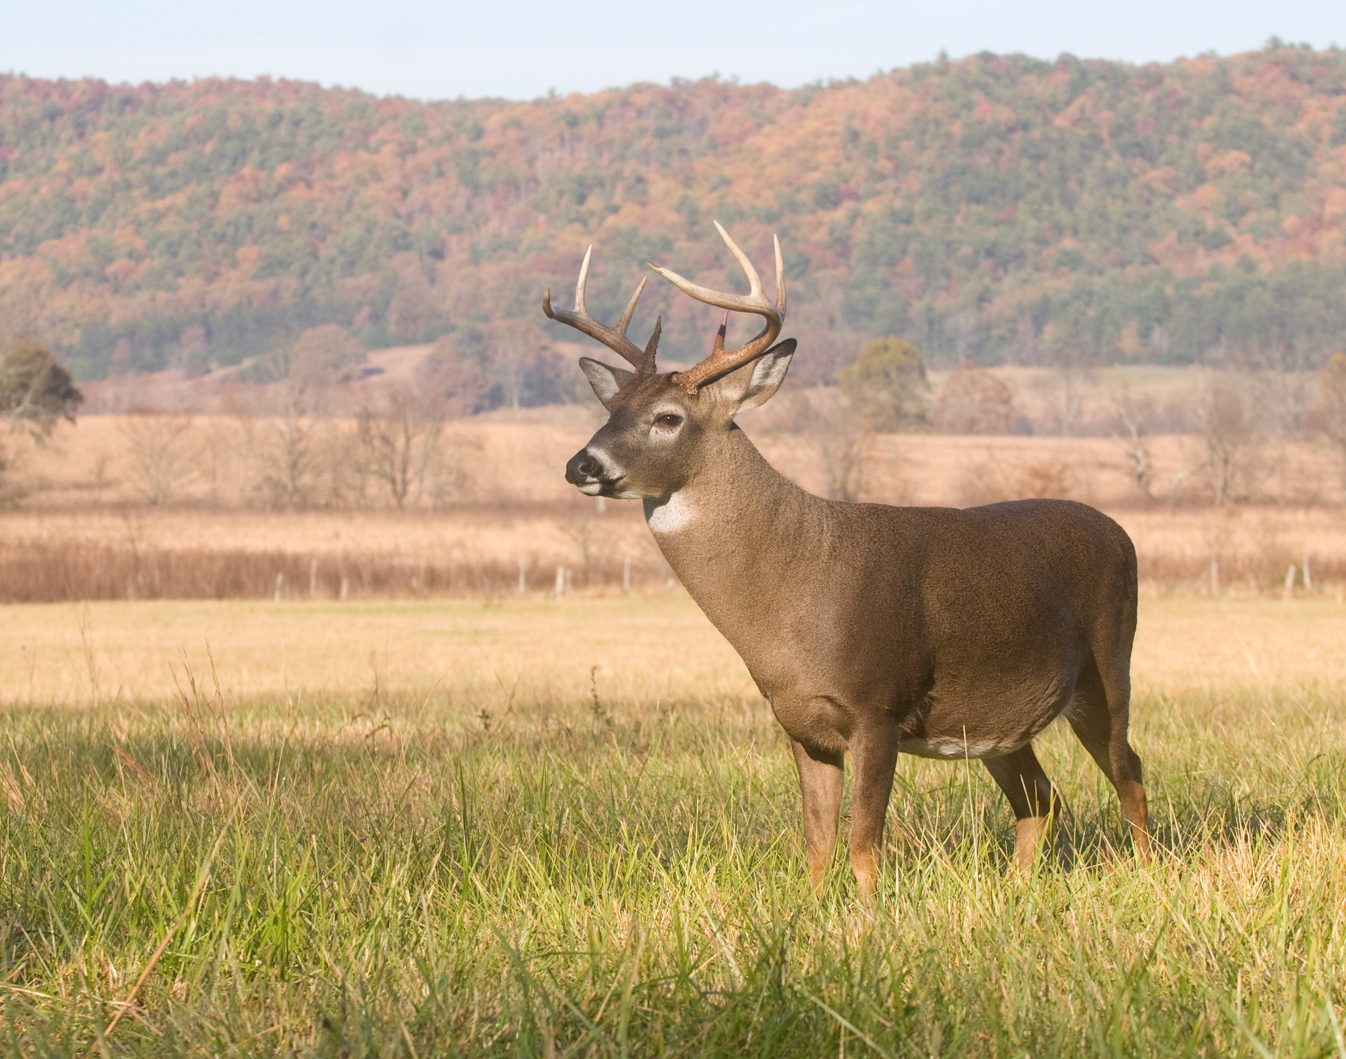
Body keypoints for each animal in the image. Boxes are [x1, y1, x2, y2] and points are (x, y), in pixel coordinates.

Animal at [541, 226, 1152, 904]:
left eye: (667, 417)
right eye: (610, 412)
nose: (579, 464)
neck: (794, 595)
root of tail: (1122, 534)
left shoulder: (878, 705)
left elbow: (863, 844)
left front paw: (867, 918)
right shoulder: (801, 724)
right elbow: (816, 844)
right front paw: (813, 913)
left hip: (1107, 667)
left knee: (1128, 770)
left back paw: (1151, 873)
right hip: (998, 720)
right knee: (1041, 797)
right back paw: (1017, 892)